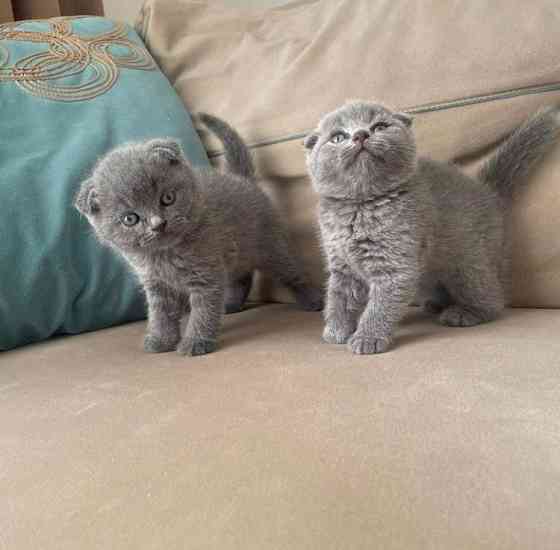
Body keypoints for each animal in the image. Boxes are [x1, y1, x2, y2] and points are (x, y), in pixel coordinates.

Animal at [73, 115, 324, 358]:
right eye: (130, 219)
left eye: (167, 198)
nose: (158, 224)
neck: (164, 256)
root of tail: (241, 179)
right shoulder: (156, 284)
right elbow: (160, 315)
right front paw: (161, 340)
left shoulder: (206, 275)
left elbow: (203, 312)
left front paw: (196, 342)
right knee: (242, 278)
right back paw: (231, 304)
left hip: (272, 247)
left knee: (292, 273)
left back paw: (314, 301)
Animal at [306, 101, 560, 356]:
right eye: (338, 137)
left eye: (379, 126)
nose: (360, 135)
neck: (361, 205)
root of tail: (489, 191)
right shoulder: (342, 265)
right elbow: (339, 298)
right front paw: (336, 329)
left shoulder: (395, 265)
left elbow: (380, 305)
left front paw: (368, 337)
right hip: (428, 275)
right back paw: (437, 304)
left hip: (469, 263)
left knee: (494, 298)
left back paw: (465, 312)